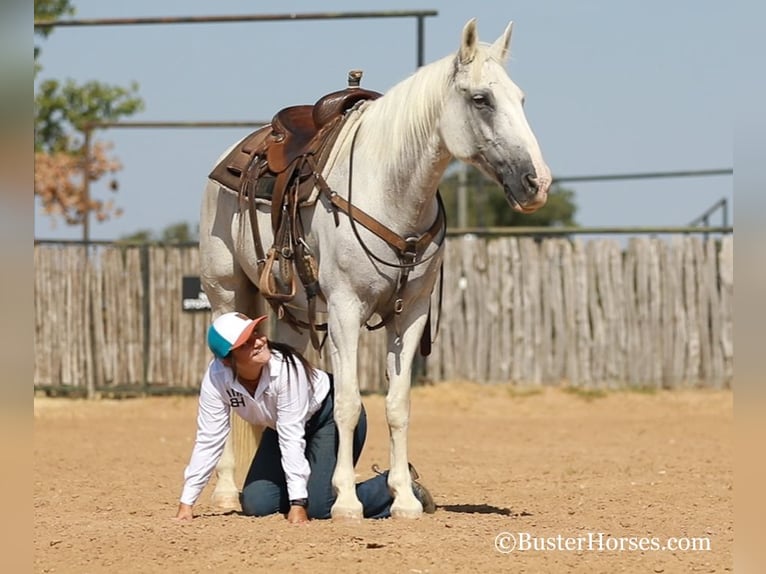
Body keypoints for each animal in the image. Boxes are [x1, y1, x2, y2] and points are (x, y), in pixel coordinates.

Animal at [198, 19, 552, 520]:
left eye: (520, 98)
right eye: (481, 99)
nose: (537, 183)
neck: (390, 188)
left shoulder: (412, 313)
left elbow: (397, 404)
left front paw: (404, 498)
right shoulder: (346, 309)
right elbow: (347, 402)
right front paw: (346, 501)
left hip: (291, 312)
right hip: (227, 293)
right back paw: (228, 492)